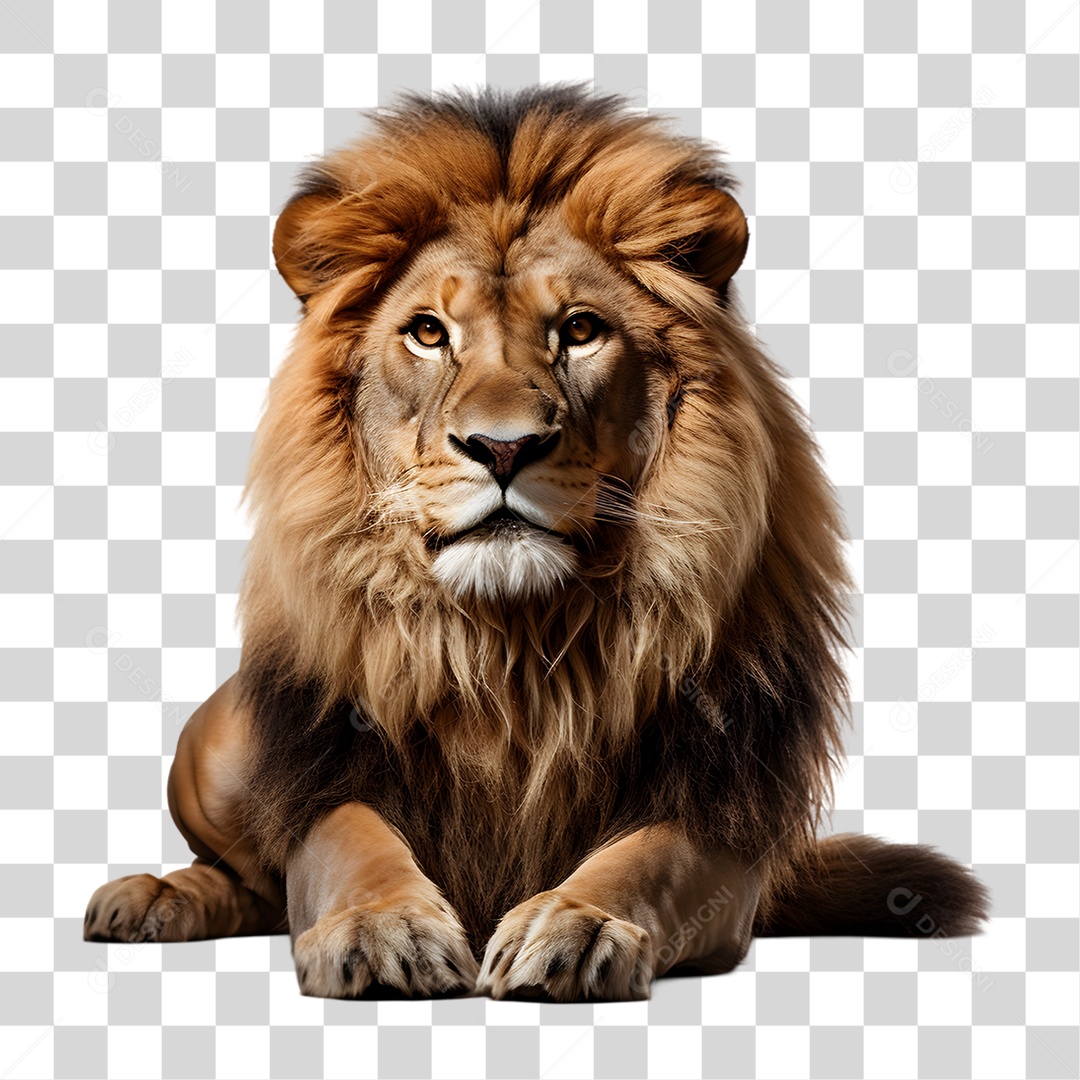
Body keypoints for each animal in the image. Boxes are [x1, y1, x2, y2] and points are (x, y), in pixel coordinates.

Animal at [85, 85, 987, 1002]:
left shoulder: (723, 815)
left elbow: (645, 858)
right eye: (427, 333)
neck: (519, 642)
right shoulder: (323, 766)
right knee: (243, 875)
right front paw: (383, 927)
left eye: (580, 330)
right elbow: (350, 841)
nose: (503, 446)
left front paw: (577, 924)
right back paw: (152, 896)